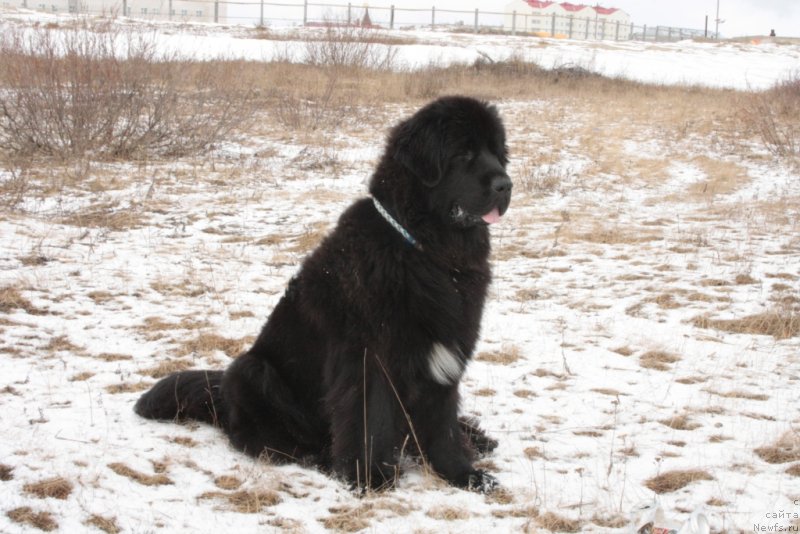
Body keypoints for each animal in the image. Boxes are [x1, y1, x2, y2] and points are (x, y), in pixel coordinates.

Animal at [135, 96, 512, 494]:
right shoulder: (368, 359)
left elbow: (443, 426)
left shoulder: (445, 355)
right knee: (260, 438)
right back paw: (316, 457)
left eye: (497, 153)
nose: (506, 185)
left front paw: (465, 475)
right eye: (463, 153)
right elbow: (370, 420)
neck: (425, 250)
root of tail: (222, 394)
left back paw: (477, 436)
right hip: (253, 372)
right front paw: (370, 478)